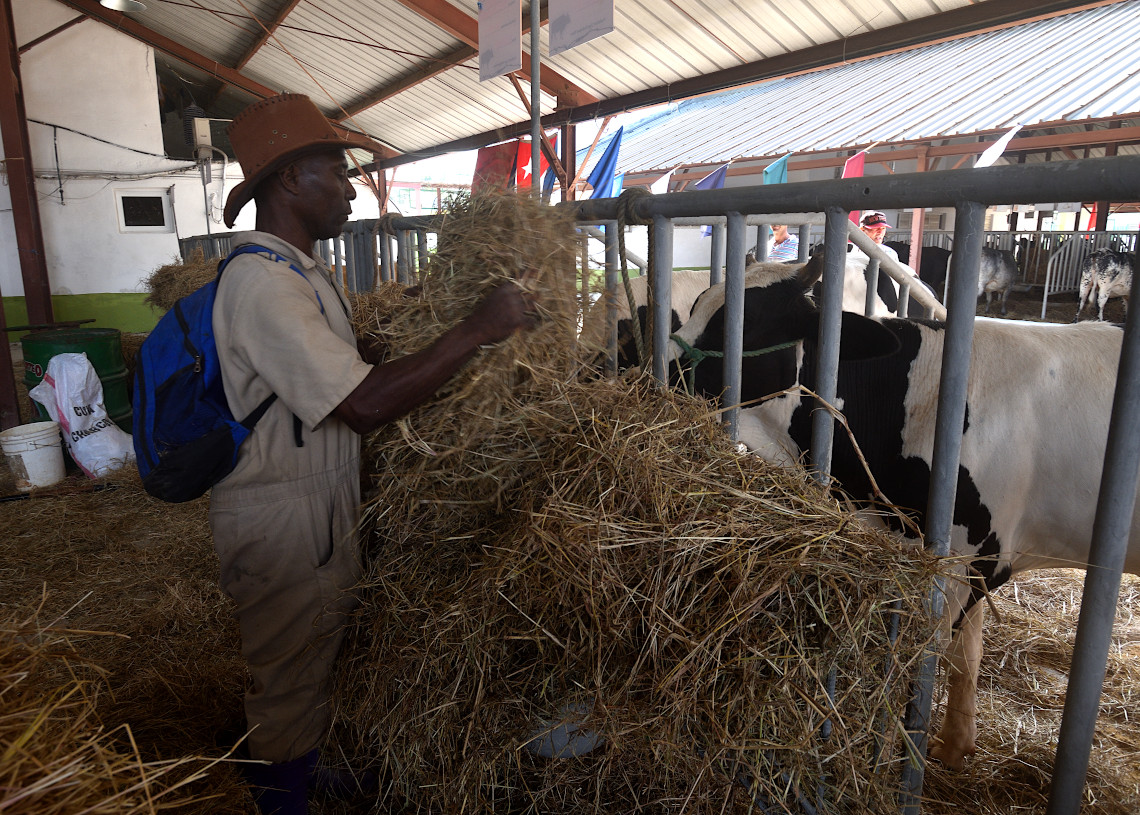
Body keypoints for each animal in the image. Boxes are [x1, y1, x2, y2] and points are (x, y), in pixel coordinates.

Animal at [665, 259, 1140, 770]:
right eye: (697, 304)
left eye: (744, 322)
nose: (648, 365)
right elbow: (966, 656)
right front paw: (953, 746)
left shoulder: (963, 563)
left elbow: (925, 663)